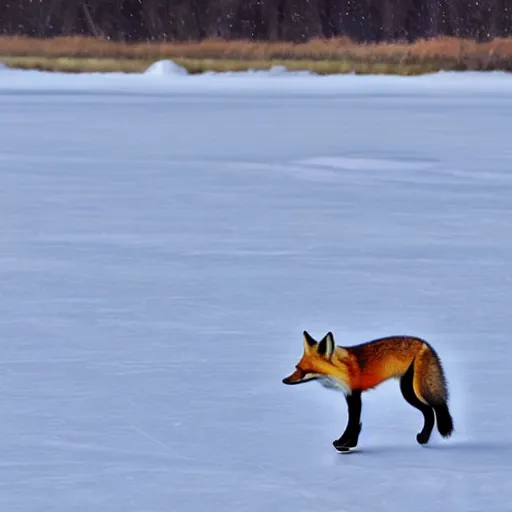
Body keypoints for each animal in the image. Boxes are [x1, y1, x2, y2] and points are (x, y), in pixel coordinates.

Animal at [282, 330, 454, 450]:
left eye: (303, 371)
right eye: (296, 367)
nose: (284, 380)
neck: (344, 370)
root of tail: (424, 343)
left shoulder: (354, 393)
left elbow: (353, 423)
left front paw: (345, 444)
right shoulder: (349, 394)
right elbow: (353, 422)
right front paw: (348, 444)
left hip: (413, 390)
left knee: (433, 408)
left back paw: (424, 438)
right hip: (408, 390)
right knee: (428, 412)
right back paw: (423, 439)